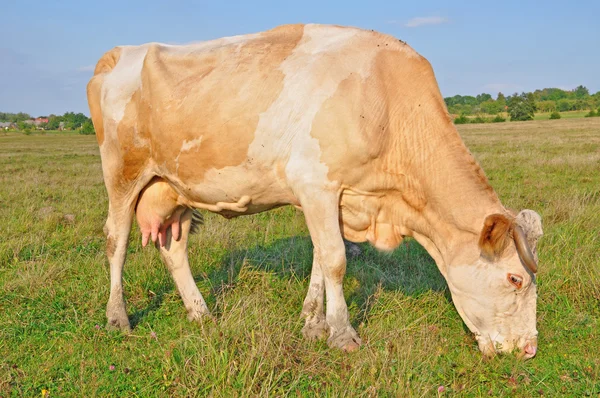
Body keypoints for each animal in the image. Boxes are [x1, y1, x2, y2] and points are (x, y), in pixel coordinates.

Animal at [88, 23, 544, 360]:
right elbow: (337, 260)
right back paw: (118, 318)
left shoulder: (334, 197)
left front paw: (312, 324)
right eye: (516, 278)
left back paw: (200, 313)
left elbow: (321, 260)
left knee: (174, 248)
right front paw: (342, 334)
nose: (529, 350)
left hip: (174, 188)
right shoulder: (316, 183)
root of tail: (120, 53)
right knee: (116, 240)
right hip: (122, 172)